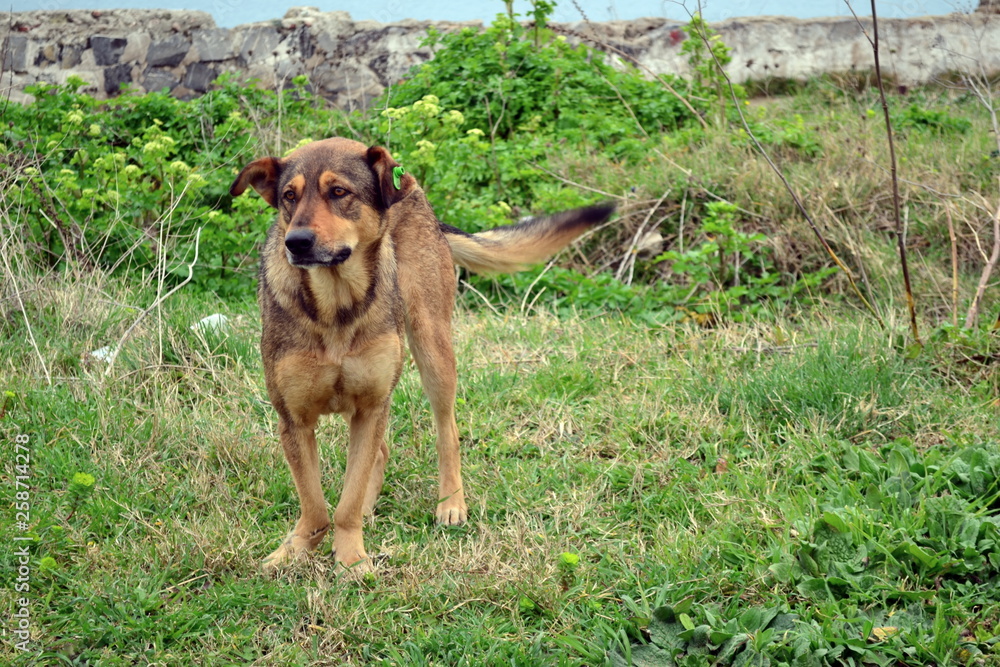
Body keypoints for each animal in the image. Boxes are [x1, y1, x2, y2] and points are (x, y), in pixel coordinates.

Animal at [230, 137, 612, 576]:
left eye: (339, 192)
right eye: (288, 197)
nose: (296, 242)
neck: (336, 305)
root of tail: (414, 192)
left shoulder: (371, 406)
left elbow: (343, 506)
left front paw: (350, 557)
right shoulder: (295, 419)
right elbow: (316, 505)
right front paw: (294, 551)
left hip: (433, 352)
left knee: (447, 433)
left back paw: (451, 503)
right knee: (379, 452)